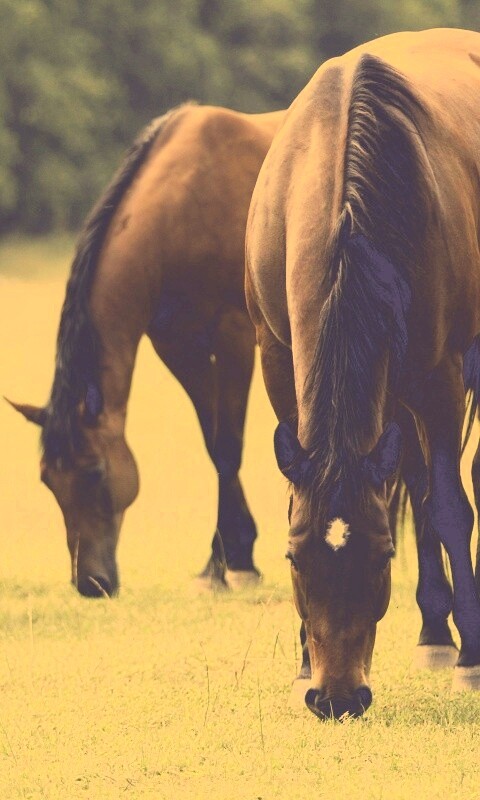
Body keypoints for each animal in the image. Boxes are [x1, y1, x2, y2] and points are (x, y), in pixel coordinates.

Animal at [9, 103, 284, 597]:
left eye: (95, 472)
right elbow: (213, 444)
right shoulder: (180, 346)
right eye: (47, 480)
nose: (90, 583)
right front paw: (225, 560)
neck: (183, 208)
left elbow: (229, 447)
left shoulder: (233, 336)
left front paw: (234, 566)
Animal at [246, 28, 480, 718]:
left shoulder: (440, 375)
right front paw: (302, 660)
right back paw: (433, 632)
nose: (337, 699)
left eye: (382, 557)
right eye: (294, 557)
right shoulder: (278, 359)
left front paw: (472, 657)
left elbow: (449, 508)